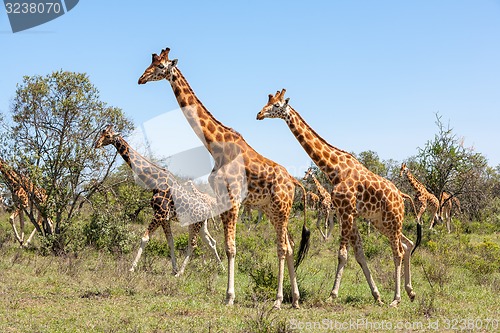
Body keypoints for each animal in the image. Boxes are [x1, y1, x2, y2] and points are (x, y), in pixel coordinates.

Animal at [93, 124, 221, 274]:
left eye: (107, 135)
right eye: (101, 134)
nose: (96, 144)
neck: (154, 182)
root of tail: (208, 209)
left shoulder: (159, 214)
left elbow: (144, 238)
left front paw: (131, 268)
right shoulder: (164, 218)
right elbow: (170, 242)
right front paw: (173, 269)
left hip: (195, 224)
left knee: (193, 244)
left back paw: (181, 273)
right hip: (199, 224)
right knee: (211, 242)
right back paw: (222, 268)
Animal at [138, 47, 308, 308]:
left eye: (160, 66)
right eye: (151, 63)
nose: (141, 78)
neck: (215, 146)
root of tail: (293, 181)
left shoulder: (233, 199)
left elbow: (231, 248)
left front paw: (229, 296)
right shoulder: (221, 199)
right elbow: (222, 245)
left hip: (281, 207)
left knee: (281, 247)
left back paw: (279, 300)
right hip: (272, 210)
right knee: (289, 247)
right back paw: (296, 299)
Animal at [256, 89, 420, 306]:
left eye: (276, 105)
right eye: (267, 102)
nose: (259, 114)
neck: (334, 169)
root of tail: (401, 196)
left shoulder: (346, 212)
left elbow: (342, 255)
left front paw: (332, 295)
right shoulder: (350, 214)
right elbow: (359, 254)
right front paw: (376, 295)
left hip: (392, 219)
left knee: (398, 251)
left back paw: (396, 298)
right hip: (381, 222)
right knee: (407, 244)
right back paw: (410, 292)